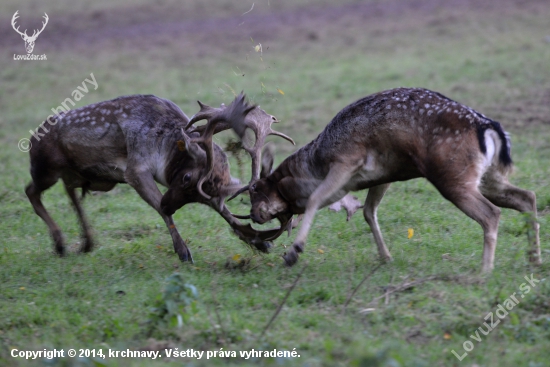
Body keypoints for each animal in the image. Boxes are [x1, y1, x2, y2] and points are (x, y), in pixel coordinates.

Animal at [24, 93, 294, 264]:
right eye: (186, 177)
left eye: (202, 199)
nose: (168, 203)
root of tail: (33, 137)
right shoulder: (134, 169)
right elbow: (161, 211)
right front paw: (183, 252)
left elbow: (226, 214)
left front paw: (259, 242)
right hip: (45, 168)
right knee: (30, 190)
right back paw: (60, 244)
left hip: (78, 175)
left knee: (69, 192)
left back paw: (85, 242)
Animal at [243, 87, 544, 274]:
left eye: (255, 189)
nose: (254, 214)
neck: (316, 163)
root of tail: (490, 128)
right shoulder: (382, 175)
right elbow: (368, 211)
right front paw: (385, 256)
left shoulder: (347, 160)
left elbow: (317, 198)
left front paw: (294, 252)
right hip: (487, 176)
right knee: (527, 196)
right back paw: (534, 259)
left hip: (453, 177)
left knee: (492, 214)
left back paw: (484, 270)